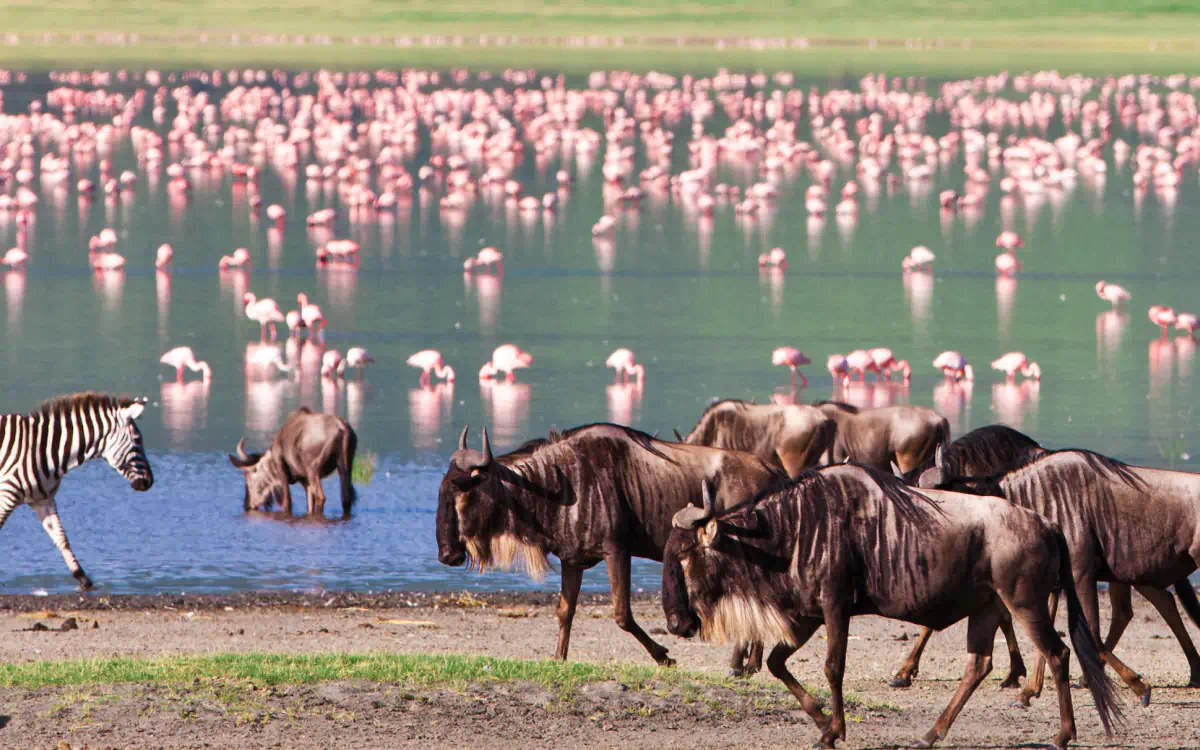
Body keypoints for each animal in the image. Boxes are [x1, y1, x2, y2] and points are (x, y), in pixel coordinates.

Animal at [0, 391, 154, 590]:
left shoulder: (43, 500)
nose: (150, 482)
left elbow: (61, 538)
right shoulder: (7, 494)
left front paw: (83, 579)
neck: (42, 451)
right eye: (137, 440)